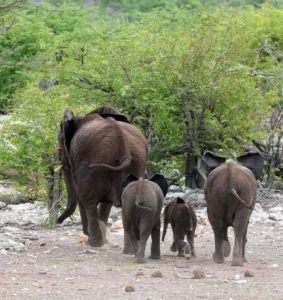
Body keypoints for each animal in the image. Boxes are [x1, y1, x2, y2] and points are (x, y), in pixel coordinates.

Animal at [55, 106, 149, 247]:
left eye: (61, 145)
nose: (57, 221)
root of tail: (125, 150)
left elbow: (80, 195)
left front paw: (89, 234)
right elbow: (106, 203)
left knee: (88, 202)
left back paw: (95, 242)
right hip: (137, 163)